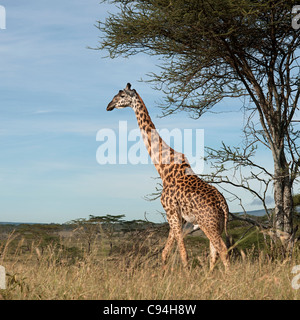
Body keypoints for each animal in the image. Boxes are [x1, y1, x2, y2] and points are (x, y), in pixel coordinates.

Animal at [105, 82, 230, 270]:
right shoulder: (179, 218)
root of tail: (223, 204)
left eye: (121, 95)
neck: (164, 168)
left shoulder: (171, 212)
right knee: (214, 252)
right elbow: (165, 253)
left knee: (222, 249)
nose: (109, 106)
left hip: (208, 223)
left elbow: (183, 255)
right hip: (216, 225)